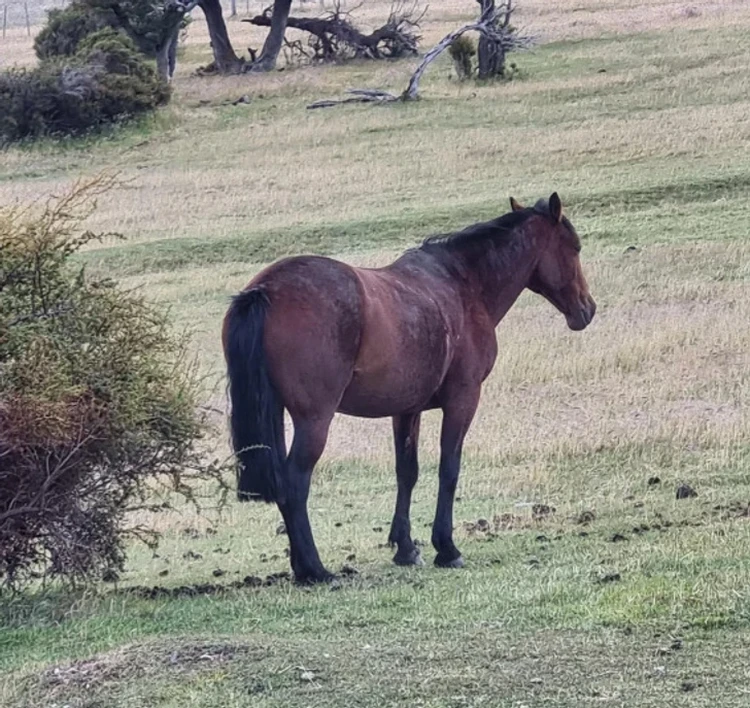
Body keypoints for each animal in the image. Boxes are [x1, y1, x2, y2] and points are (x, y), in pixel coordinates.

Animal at [223, 191, 600, 584]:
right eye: (575, 247)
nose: (586, 309)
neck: (463, 285)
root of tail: (265, 289)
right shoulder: (463, 400)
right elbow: (449, 468)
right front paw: (446, 548)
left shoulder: (406, 410)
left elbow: (407, 473)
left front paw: (405, 547)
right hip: (314, 422)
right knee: (295, 484)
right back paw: (316, 569)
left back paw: (302, 567)